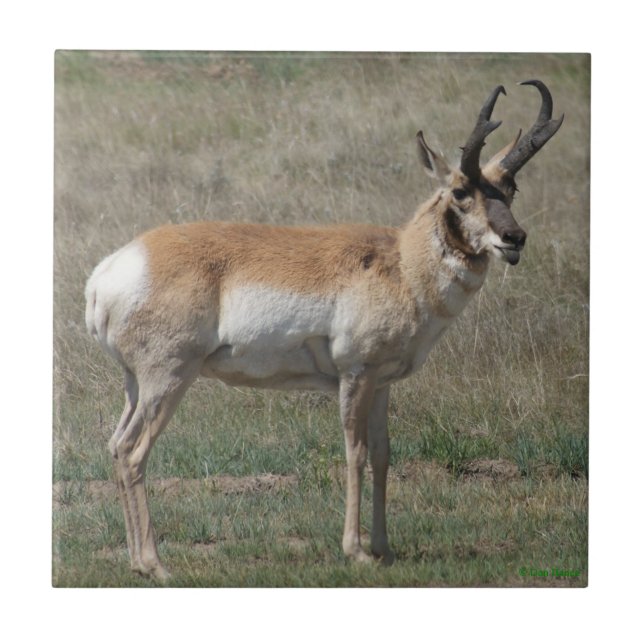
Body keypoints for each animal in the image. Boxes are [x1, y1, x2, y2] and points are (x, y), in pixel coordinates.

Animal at [85, 80, 562, 581]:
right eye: (459, 190)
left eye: (510, 188)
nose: (514, 239)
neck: (402, 262)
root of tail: (109, 273)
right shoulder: (355, 375)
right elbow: (355, 453)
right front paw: (355, 551)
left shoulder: (383, 383)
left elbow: (383, 455)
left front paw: (385, 550)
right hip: (168, 379)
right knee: (134, 451)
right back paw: (156, 565)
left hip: (136, 386)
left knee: (116, 447)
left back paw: (137, 562)